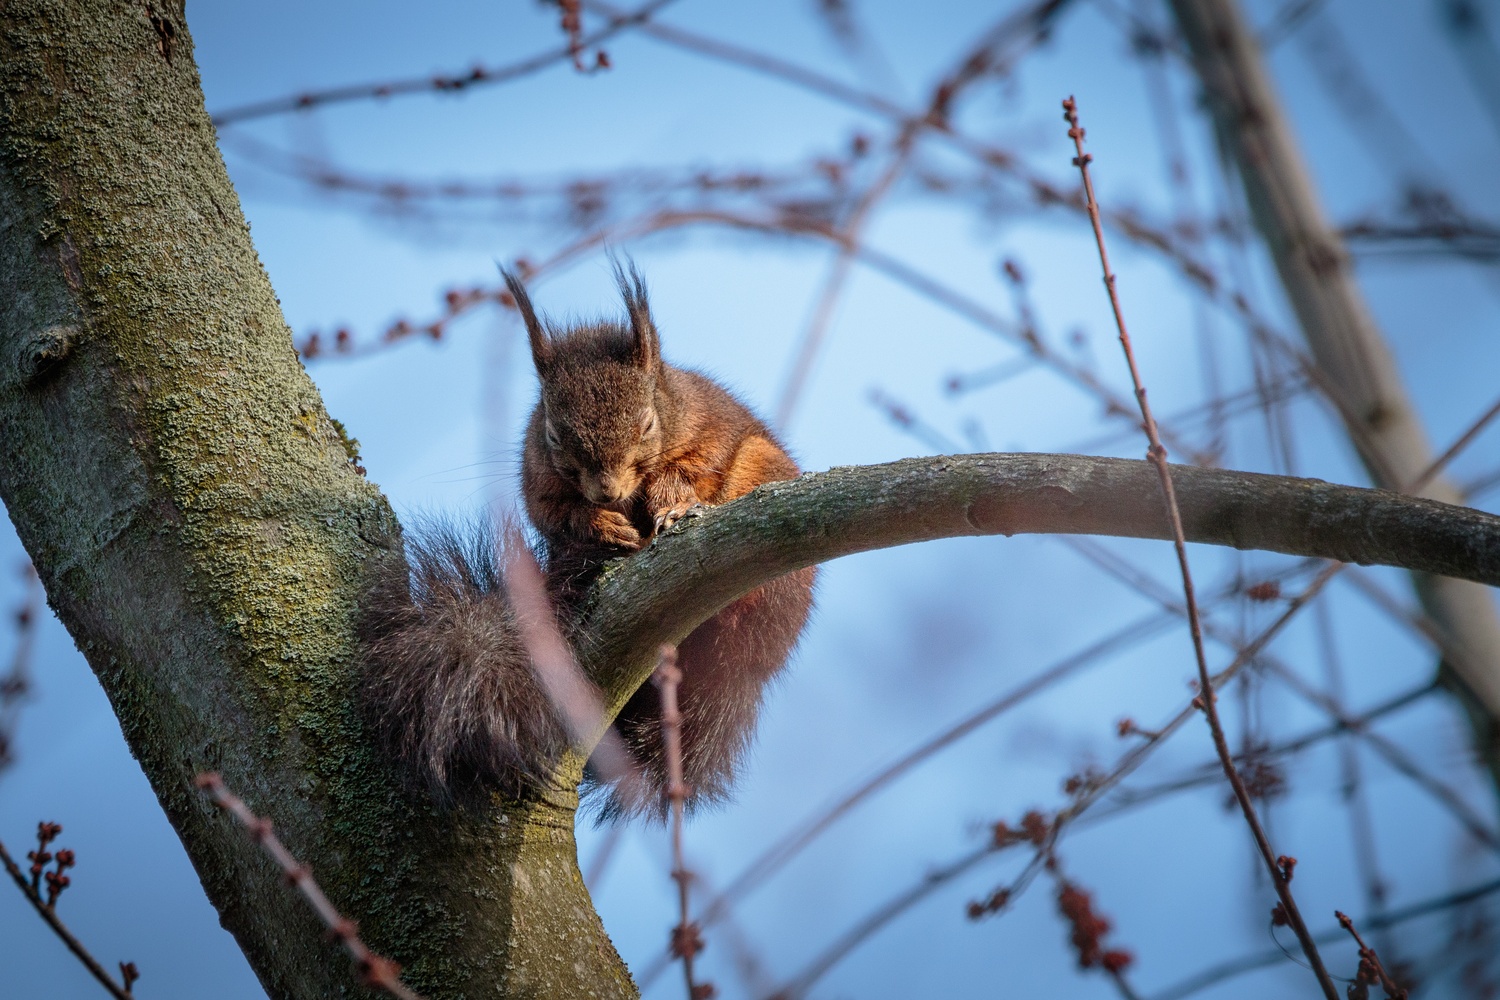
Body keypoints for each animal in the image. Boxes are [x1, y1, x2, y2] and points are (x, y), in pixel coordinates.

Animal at [357, 262, 816, 815]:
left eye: (647, 423)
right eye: (553, 433)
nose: (607, 490)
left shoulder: (715, 428)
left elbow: (695, 465)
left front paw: (671, 500)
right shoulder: (538, 481)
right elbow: (559, 513)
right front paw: (604, 524)